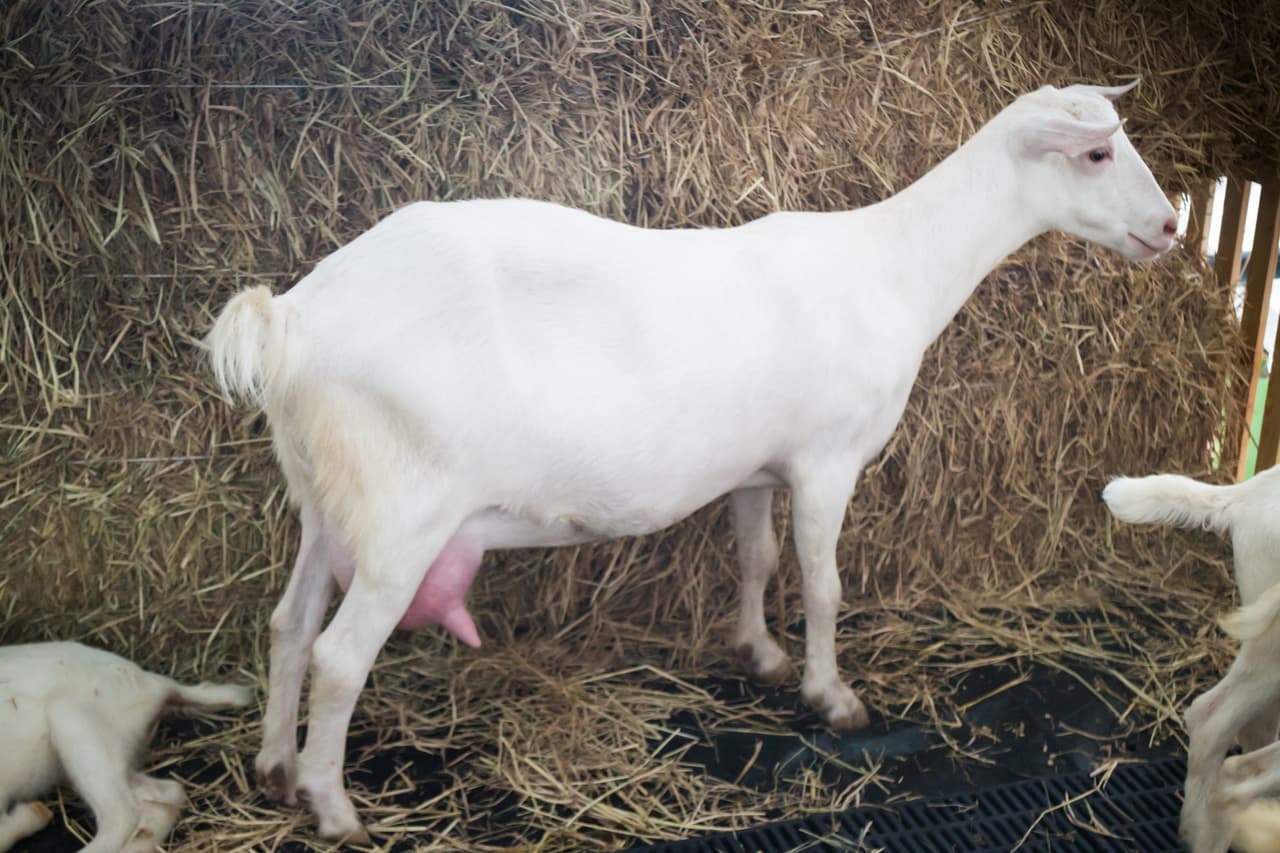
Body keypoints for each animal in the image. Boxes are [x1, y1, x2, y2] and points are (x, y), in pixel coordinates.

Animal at [208, 81, 1176, 842]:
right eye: (1096, 152)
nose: (1169, 226)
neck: (894, 268)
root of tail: (292, 320)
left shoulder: (755, 469)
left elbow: (755, 557)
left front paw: (759, 654)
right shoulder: (826, 461)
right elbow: (823, 582)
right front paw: (832, 697)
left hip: (325, 499)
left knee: (289, 624)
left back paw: (274, 767)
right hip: (403, 514)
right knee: (339, 655)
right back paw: (333, 807)